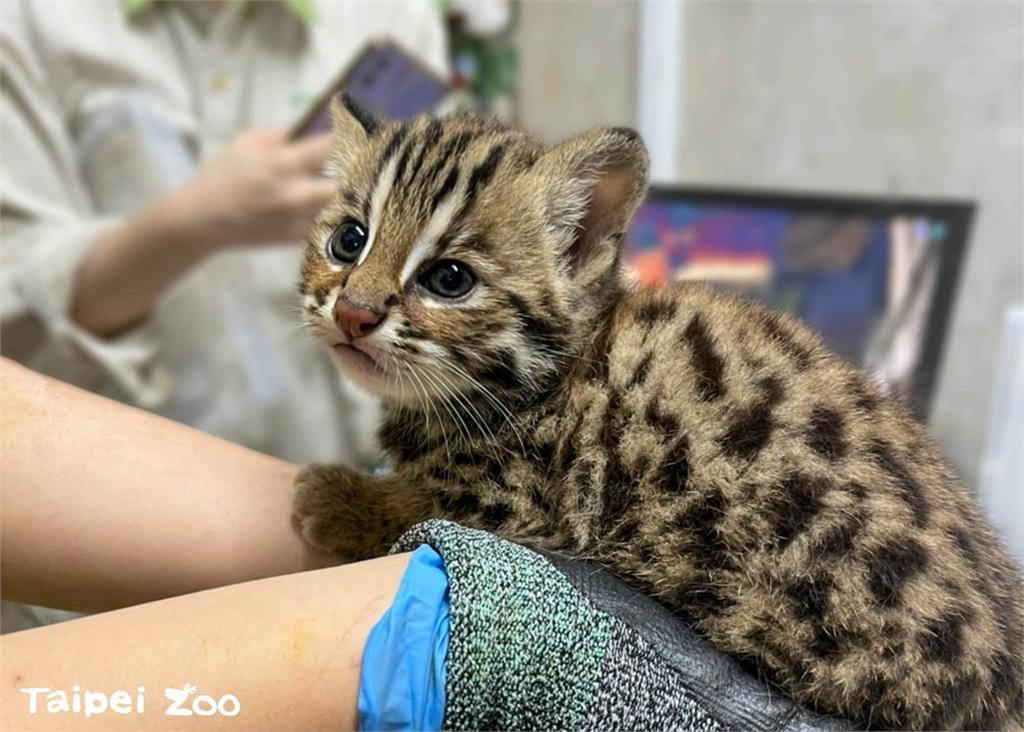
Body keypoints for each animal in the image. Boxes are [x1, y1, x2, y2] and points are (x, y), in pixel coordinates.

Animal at [296, 94, 1024, 728]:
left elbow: (426, 499)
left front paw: (340, 496)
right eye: (349, 241)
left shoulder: (538, 500)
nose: (354, 312)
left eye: (449, 279)